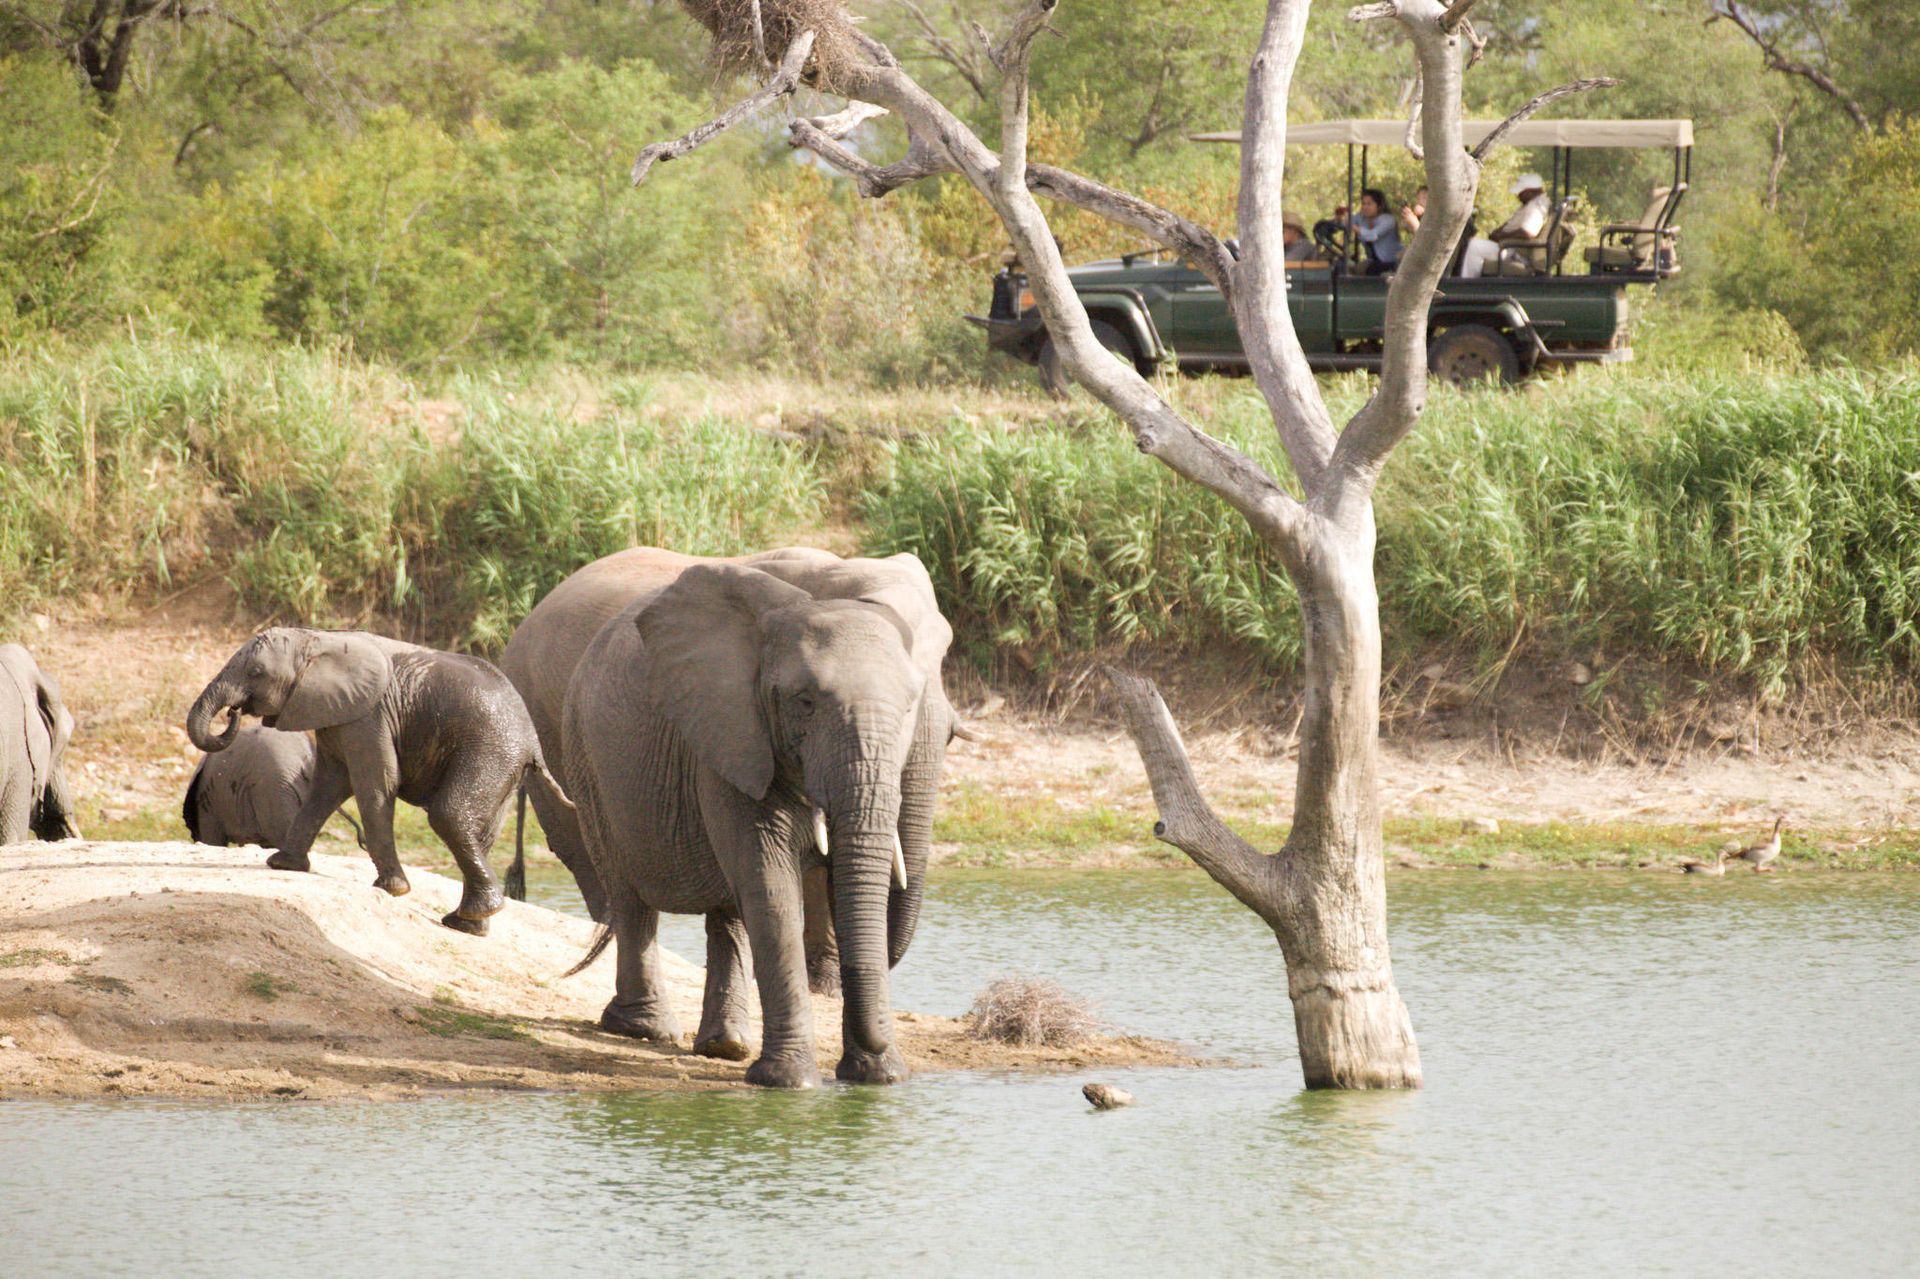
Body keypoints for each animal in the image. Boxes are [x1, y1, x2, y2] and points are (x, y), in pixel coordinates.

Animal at [544, 547, 954, 1089]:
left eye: (909, 707)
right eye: (805, 702)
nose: (875, 1055)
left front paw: (876, 1078)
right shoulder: (730, 733)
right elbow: (771, 884)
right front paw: (790, 1084)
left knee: (728, 910)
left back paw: (724, 1046)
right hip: (586, 758)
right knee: (631, 897)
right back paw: (645, 1030)